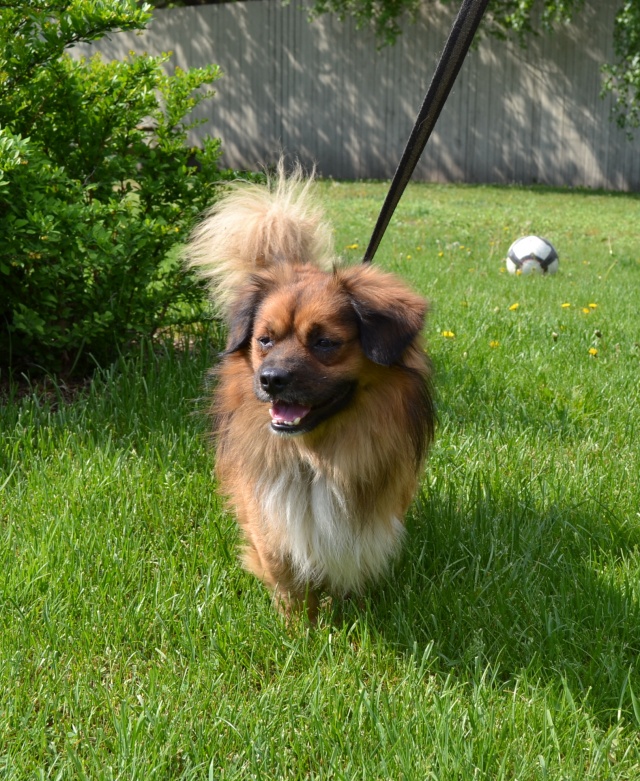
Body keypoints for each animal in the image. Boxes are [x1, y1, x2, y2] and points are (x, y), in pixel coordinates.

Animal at [186, 163, 435, 620]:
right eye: (265, 340)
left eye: (324, 343)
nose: (270, 379)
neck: (317, 455)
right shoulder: (267, 510)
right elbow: (282, 566)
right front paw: (300, 625)